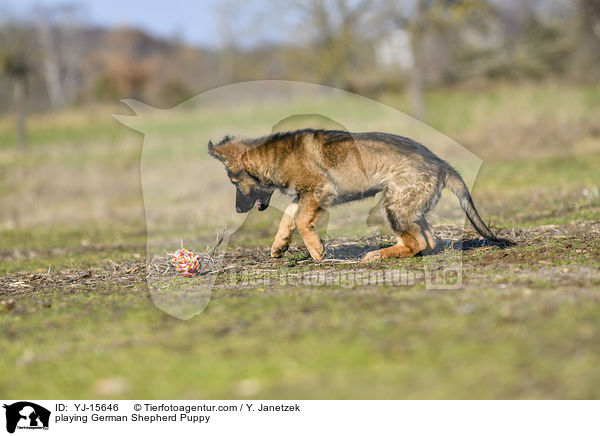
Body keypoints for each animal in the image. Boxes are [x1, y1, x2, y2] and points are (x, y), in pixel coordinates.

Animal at [209, 127, 508, 260]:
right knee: (429, 241)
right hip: (409, 206)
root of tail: (441, 164)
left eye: (234, 182)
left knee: (418, 243)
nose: (237, 210)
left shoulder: (319, 189)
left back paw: (379, 254)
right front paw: (279, 245)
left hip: (394, 205)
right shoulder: (305, 194)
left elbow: (301, 220)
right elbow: (290, 216)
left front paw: (316, 249)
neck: (271, 157)